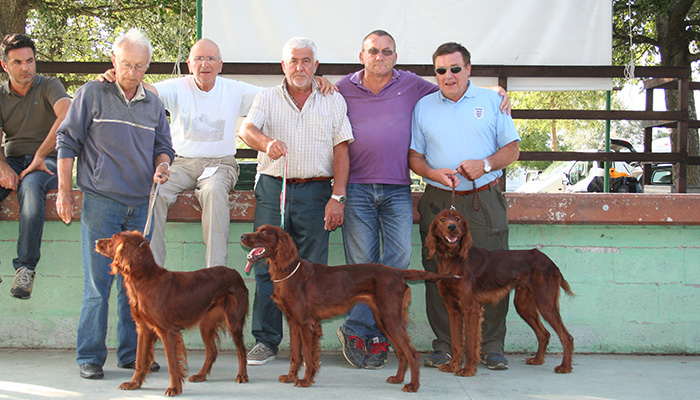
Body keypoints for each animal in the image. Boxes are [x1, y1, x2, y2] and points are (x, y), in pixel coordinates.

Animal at [95, 230, 249, 396]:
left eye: (113, 240)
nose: (96, 241)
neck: (146, 279)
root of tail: (236, 273)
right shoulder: (144, 328)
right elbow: (140, 360)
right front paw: (133, 384)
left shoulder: (167, 331)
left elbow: (172, 363)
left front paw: (174, 388)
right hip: (206, 324)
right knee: (212, 352)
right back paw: (200, 376)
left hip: (233, 322)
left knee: (241, 350)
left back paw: (242, 375)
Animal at [241, 225, 460, 394]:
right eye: (257, 229)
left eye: (263, 233)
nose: (243, 236)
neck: (287, 272)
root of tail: (398, 272)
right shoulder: (294, 323)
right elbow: (296, 355)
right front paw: (290, 377)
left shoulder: (307, 324)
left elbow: (309, 357)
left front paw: (305, 381)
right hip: (384, 320)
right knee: (401, 352)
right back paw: (398, 378)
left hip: (390, 318)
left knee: (412, 353)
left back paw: (413, 386)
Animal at [426, 209, 576, 378]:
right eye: (442, 219)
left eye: (457, 219)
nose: (452, 227)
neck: (453, 259)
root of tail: (550, 262)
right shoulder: (453, 310)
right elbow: (456, 343)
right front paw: (452, 366)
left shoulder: (471, 309)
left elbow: (470, 344)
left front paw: (468, 369)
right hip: (523, 305)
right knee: (544, 334)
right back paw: (537, 360)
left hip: (545, 303)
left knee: (567, 337)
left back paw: (565, 367)